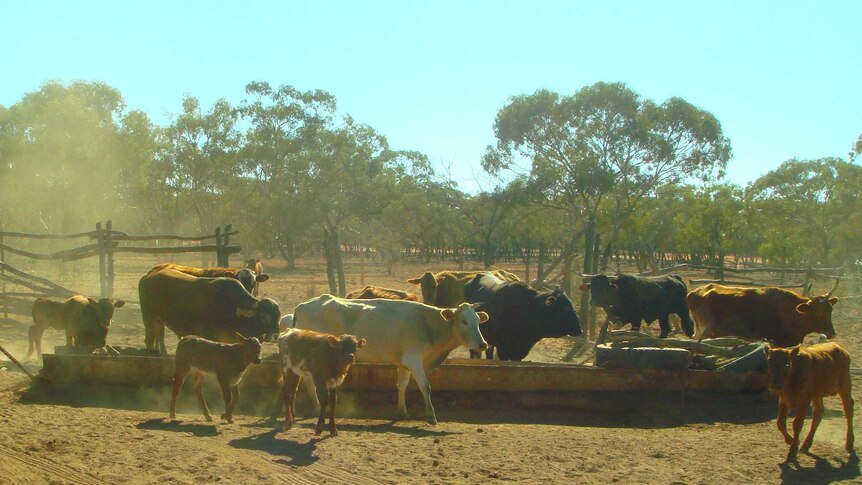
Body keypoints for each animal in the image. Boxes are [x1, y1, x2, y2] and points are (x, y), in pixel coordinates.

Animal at [138, 266, 280, 354]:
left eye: (278, 316)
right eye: (264, 316)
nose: (276, 335)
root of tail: (149, 275)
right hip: (150, 319)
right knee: (149, 340)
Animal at [294, 294, 490, 422]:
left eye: (478, 321)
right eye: (464, 321)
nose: (483, 344)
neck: (427, 324)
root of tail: (301, 306)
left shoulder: (404, 363)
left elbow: (402, 385)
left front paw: (402, 412)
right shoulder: (414, 360)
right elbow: (425, 386)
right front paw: (431, 416)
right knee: (310, 381)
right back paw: (318, 407)